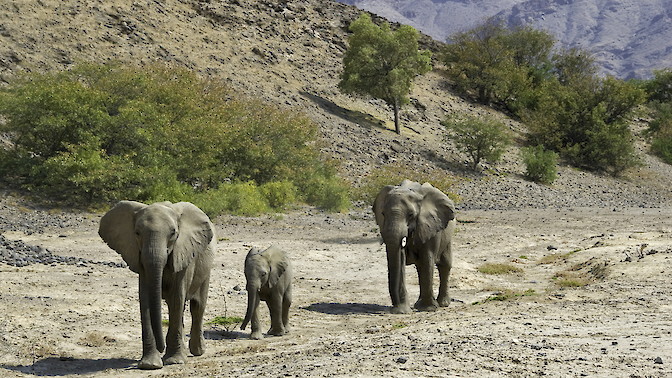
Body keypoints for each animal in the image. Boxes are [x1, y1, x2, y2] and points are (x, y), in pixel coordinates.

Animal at [98, 201, 215, 370]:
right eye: (137, 233)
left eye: (173, 233)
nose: (161, 347)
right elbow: (145, 300)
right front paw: (150, 364)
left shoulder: (183, 253)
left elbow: (177, 297)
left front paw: (174, 361)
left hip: (205, 269)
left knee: (197, 307)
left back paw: (198, 351)